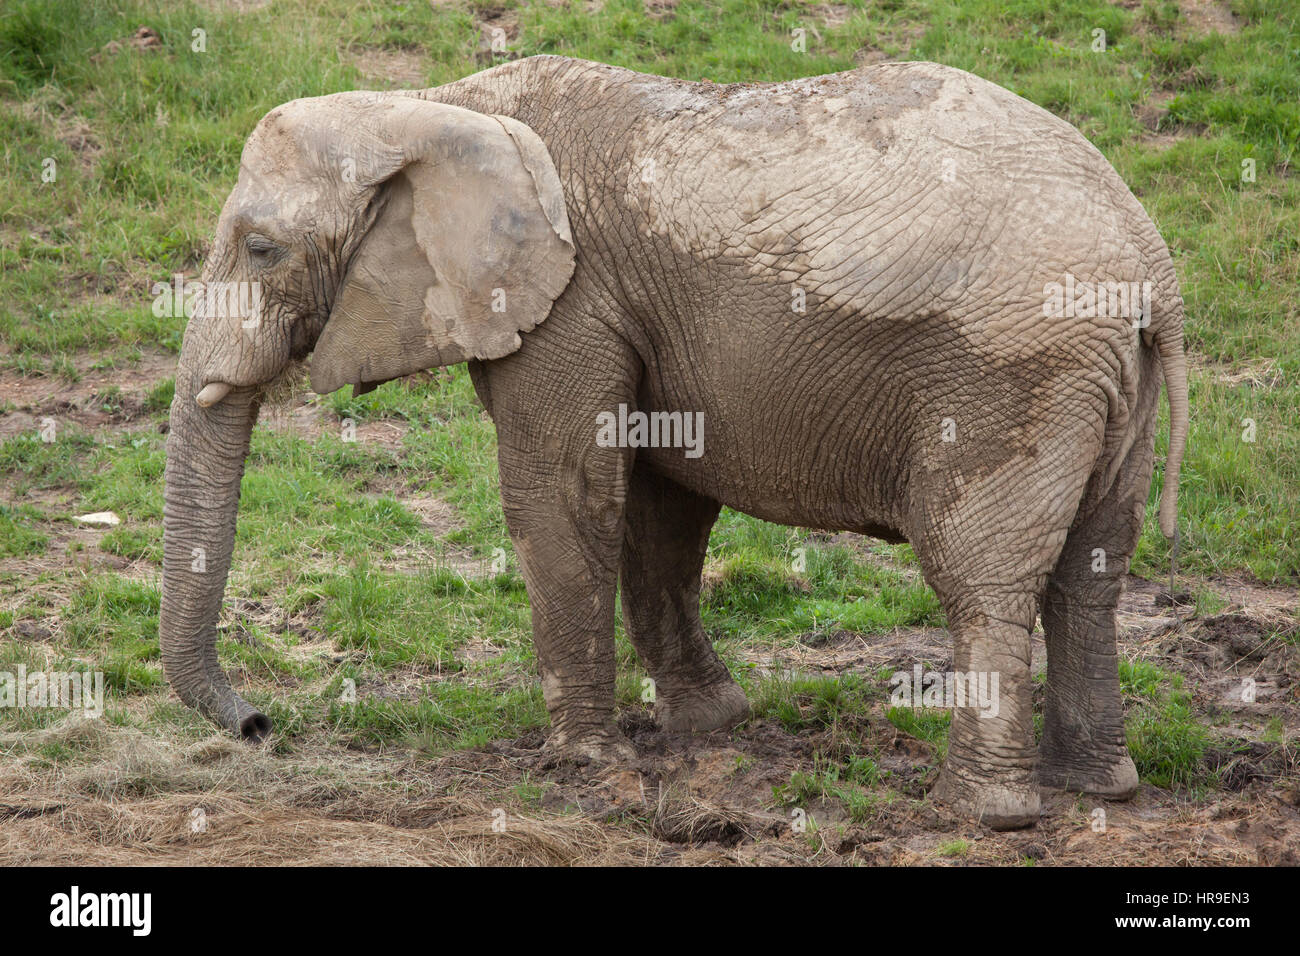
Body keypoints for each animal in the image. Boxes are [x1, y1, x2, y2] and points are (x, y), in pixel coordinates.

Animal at [160, 55, 1188, 829]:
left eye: (260, 250)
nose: (258, 725)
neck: (436, 104)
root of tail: (1153, 270)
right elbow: (662, 504)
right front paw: (709, 728)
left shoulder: (570, 301)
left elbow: (561, 491)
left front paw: (582, 766)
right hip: (1105, 386)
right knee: (1092, 573)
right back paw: (1098, 788)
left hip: (1010, 381)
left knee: (983, 578)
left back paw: (983, 815)